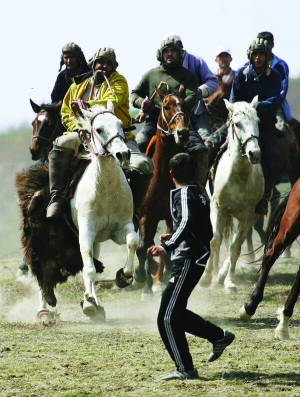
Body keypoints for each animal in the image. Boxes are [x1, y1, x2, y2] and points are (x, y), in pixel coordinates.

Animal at [134, 85, 190, 298]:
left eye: (184, 105)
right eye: (166, 106)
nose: (182, 133)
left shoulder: (172, 216)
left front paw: (160, 280)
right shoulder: (145, 216)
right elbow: (143, 248)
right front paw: (144, 284)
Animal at [200, 96, 264, 290]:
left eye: (258, 121)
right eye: (237, 124)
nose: (254, 153)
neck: (239, 177)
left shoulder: (246, 215)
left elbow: (235, 247)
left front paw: (229, 282)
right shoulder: (217, 209)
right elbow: (214, 240)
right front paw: (206, 277)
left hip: (251, 218)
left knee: (237, 241)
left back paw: (221, 275)